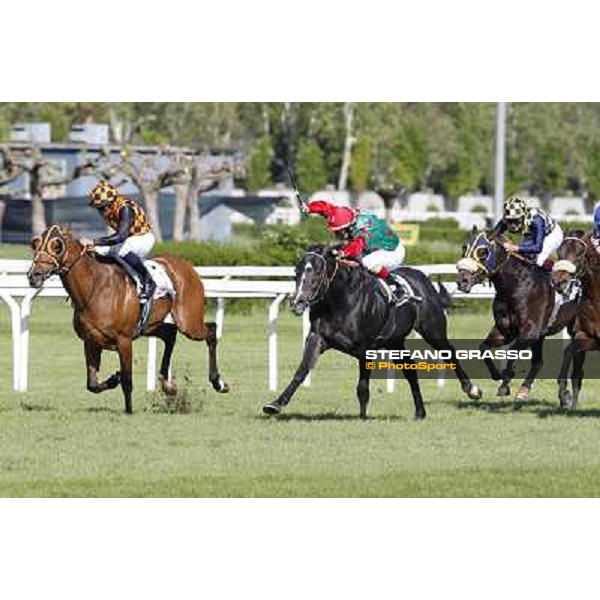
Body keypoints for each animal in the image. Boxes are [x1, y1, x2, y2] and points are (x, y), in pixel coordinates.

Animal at [25, 223, 229, 414]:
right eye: (35, 243)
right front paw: (113, 378)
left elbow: (127, 380)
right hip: (151, 326)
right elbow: (92, 384)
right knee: (170, 335)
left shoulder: (124, 341)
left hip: (188, 322)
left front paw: (129, 410)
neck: (94, 289)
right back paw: (168, 386)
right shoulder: (90, 342)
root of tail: (186, 266)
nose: (34, 275)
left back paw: (218, 382)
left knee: (211, 329)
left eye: (57, 245)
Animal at [262, 243, 482, 418]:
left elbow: (362, 386)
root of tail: (422, 277)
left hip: (432, 330)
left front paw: (362, 417)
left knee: (449, 353)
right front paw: (275, 404)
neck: (339, 301)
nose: (297, 303)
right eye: (296, 272)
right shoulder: (317, 338)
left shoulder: (365, 348)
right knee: (410, 370)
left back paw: (472, 390)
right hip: (395, 342)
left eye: (316, 271)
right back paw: (420, 412)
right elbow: (302, 371)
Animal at [458, 227, 580, 400]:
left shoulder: (530, 332)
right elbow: (483, 348)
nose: (462, 281)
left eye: (483, 251)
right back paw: (524, 389)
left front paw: (506, 381)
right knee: (538, 362)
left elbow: (511, 352)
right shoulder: (505, 331)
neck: (516, 286)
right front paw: (498, 377)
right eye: (464, 248)